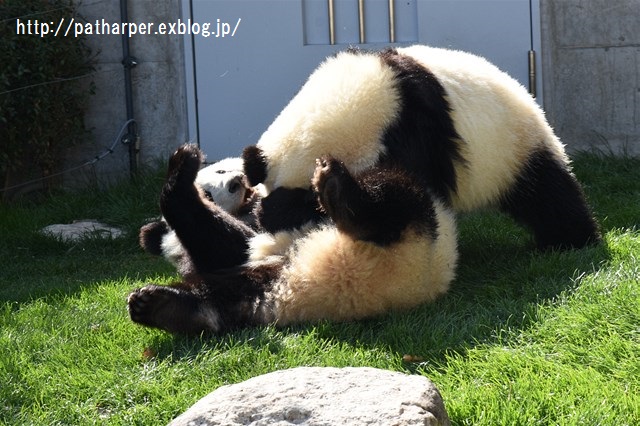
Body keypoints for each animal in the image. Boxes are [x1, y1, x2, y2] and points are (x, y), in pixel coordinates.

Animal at [127, 145, 458, 334]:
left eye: (221, 169)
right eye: (208, 192)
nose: (235, 183)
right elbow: (232, 245)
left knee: (392, 189)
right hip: (267, 279)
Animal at [241, 45, 600, 250]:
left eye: (307, 206)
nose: (278, 234)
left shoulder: (412, 133)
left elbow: (407, 195)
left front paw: (337, 192)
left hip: (512, 146)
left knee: (548, 194)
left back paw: (569, 239)